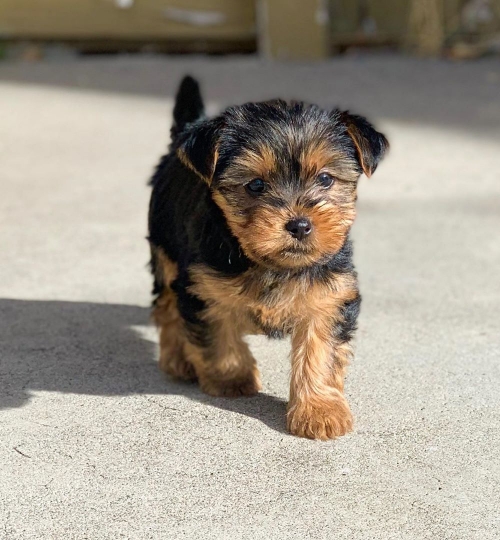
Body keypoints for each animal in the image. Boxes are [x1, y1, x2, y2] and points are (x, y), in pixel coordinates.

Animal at [146, 75, 388, 438]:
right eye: (256, 185)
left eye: (325, 179)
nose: (300, 225)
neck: (271, 263)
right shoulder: (202, 287)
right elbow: (218, 335)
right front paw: (232, 378)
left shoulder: (330, 296)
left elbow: (321, 353)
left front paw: (319, 411)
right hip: (166, 251)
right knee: (167, 306)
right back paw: (178, 359)